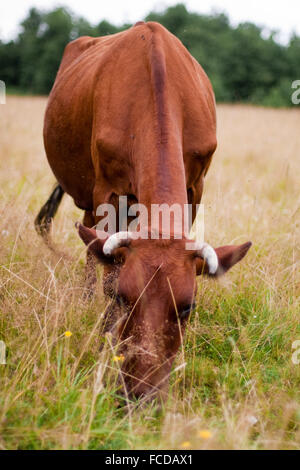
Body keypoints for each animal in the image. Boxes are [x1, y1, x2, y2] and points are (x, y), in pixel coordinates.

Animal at [35, 21, 251, 400]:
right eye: (125, 298)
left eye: (188, 307)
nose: (141, 393)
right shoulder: (106, 190)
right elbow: (107, 270)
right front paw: (106, 333)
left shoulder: (196, 186)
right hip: (92, 196)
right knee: (91, 246)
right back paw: (86, 298)